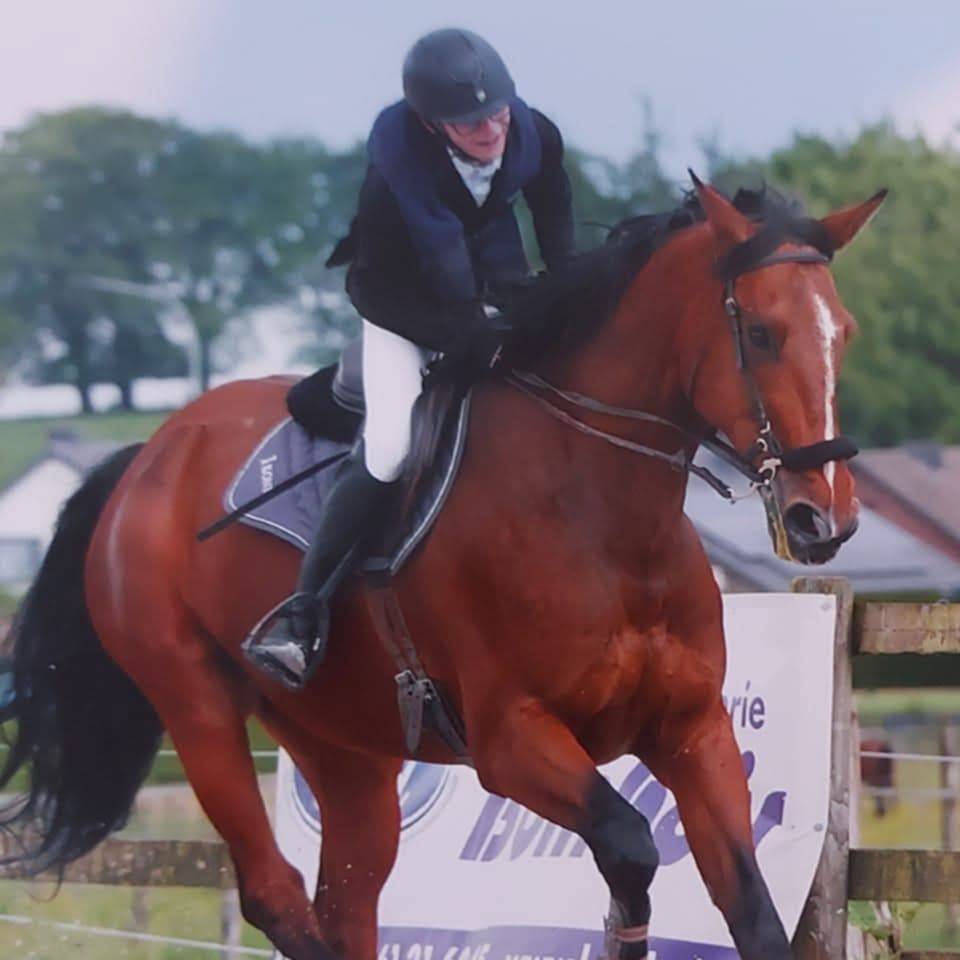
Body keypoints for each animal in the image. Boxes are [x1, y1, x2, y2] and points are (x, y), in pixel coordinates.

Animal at [0, 178, 884, 960]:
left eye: (844, 331)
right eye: (761, 333)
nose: (826, 517)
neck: (605, 521)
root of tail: (149, 456)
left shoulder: (693, 730)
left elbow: (748, 911)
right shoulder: (513, 739)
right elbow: (632, 848)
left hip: (343, 748)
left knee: (347, 902)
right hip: (198, 710)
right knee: (277, 896)